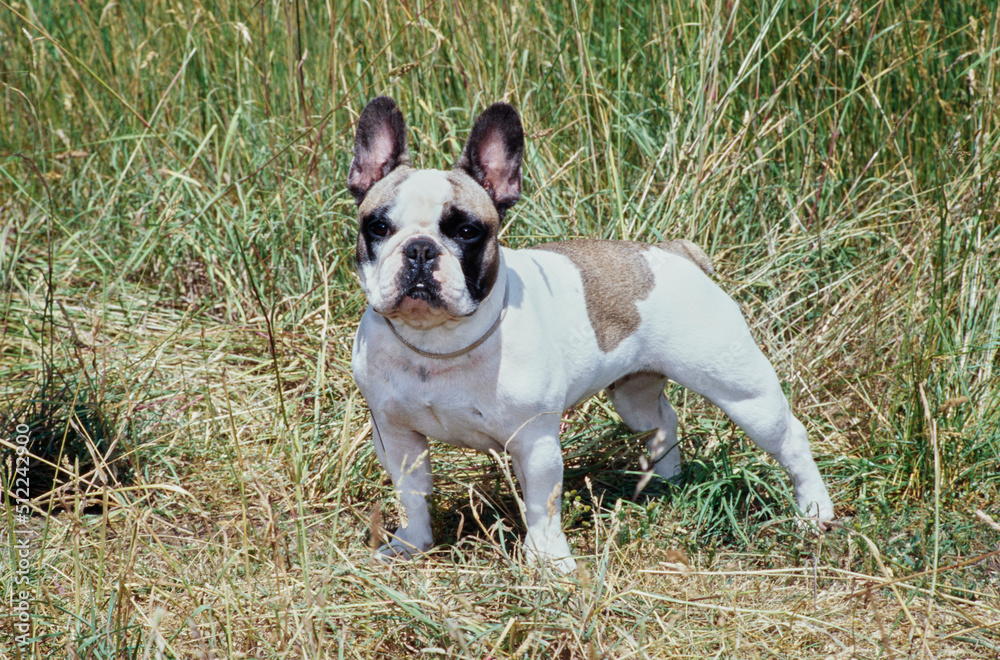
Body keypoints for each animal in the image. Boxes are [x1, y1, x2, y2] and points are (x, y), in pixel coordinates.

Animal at [348, 94, 832, 572]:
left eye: (467, 231)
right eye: (378, 227)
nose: (419, 249)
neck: (436, 345)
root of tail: (676, 252)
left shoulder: (535, 440)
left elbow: (542, 505)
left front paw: (548, 560)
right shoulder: (396, 435)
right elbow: (412, 494)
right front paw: (412, 543)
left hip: (743, 393)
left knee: (790, 438)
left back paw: (814, 513)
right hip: (633, 394)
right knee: (662, 422)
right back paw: (666, 481)